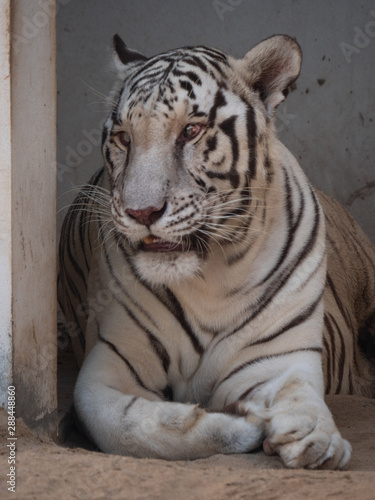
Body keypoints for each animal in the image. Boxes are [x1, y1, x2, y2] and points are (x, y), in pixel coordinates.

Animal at [58, 35, 375, 468]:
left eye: (191, 130)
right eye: (124, 137)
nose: (142, 212)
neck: (211, 273)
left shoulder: (279, 359)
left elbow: (300, 397)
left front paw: (318, 439)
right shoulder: (108, 368)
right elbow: (132, 428)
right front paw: (243, 423)